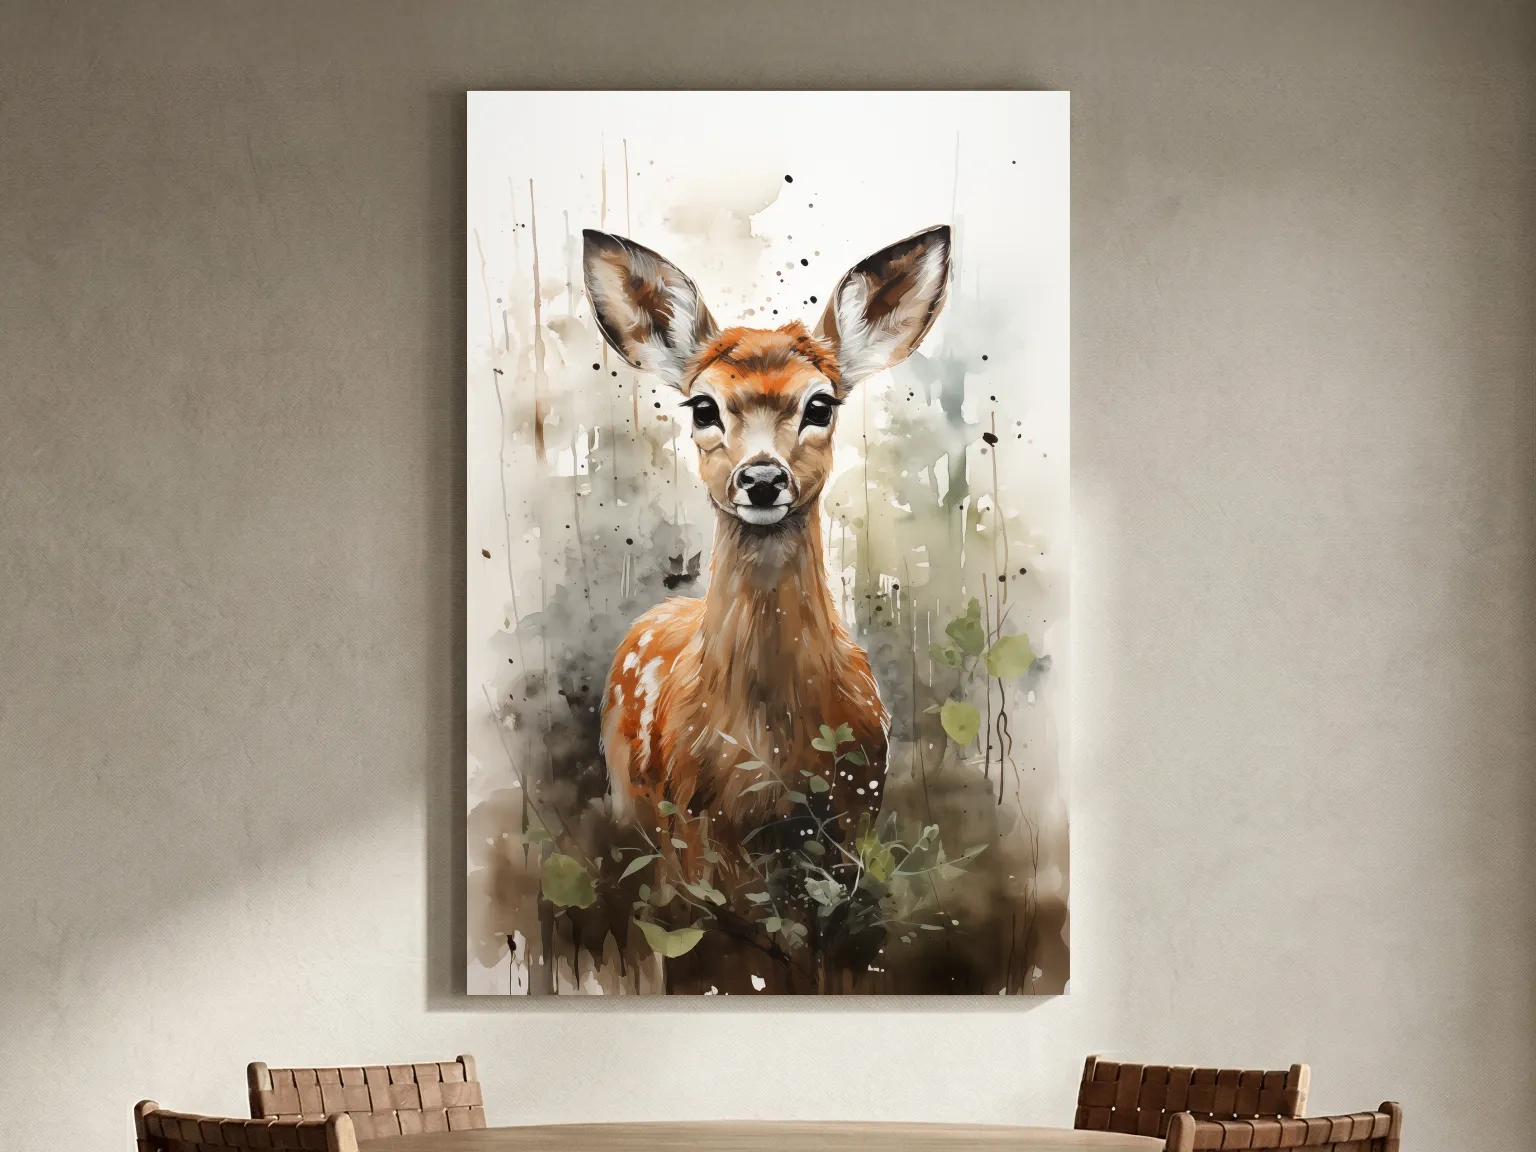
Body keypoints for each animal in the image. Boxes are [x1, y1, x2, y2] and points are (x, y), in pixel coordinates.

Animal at [584, 225, 951, 878]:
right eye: (702, 406)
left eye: (820, 405)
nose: (761, 478)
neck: (770, 751)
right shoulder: (691, 829)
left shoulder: (856, 812)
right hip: (631, 799)